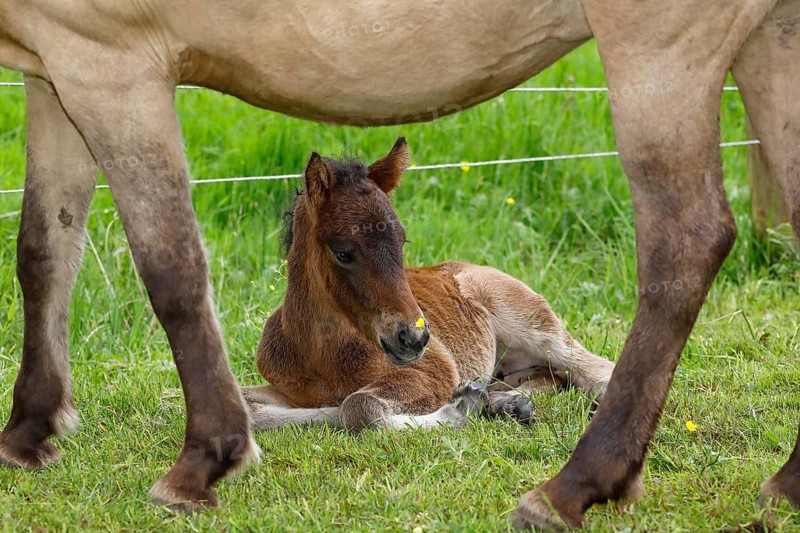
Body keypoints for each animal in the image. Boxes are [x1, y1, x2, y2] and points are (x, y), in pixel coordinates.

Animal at [241, 138, 616, 433]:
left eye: (402, 242)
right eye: (343, 253)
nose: (415, 337)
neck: (322, 355)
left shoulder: (432, 370)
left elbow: (358, 406)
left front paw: (460, 408)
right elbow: (251, 409)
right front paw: (474, 401)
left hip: (530, 319)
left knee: (591, 367)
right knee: (552, 378)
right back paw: (507, 403)